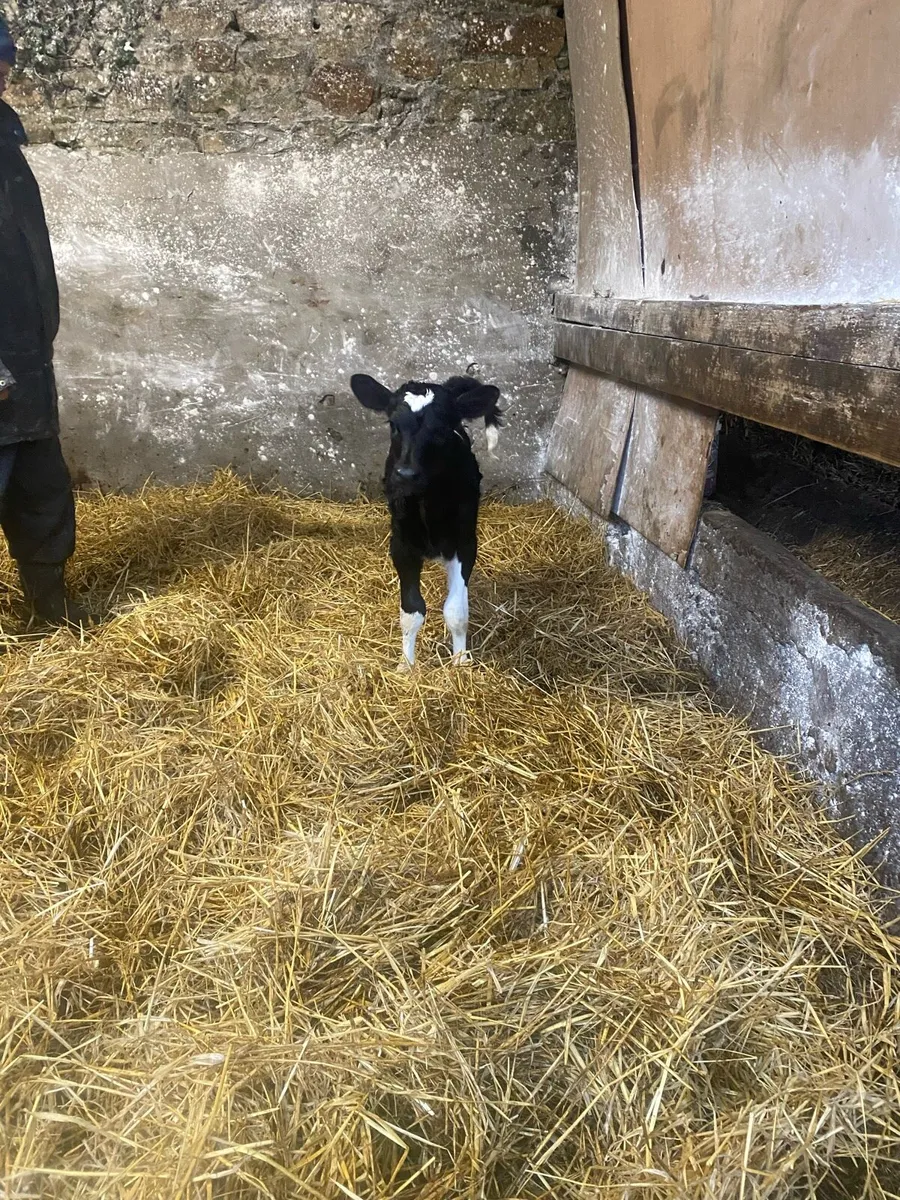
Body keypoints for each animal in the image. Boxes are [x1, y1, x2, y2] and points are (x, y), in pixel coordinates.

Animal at [350, 372, 503, 667]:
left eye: (442, 429)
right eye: (393, 424)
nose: (406, 474)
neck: (426, 506)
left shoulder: (466, 544)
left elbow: (456, 611)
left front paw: (460, 661)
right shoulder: (401, 546)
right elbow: (411, 611)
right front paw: (407, 665)